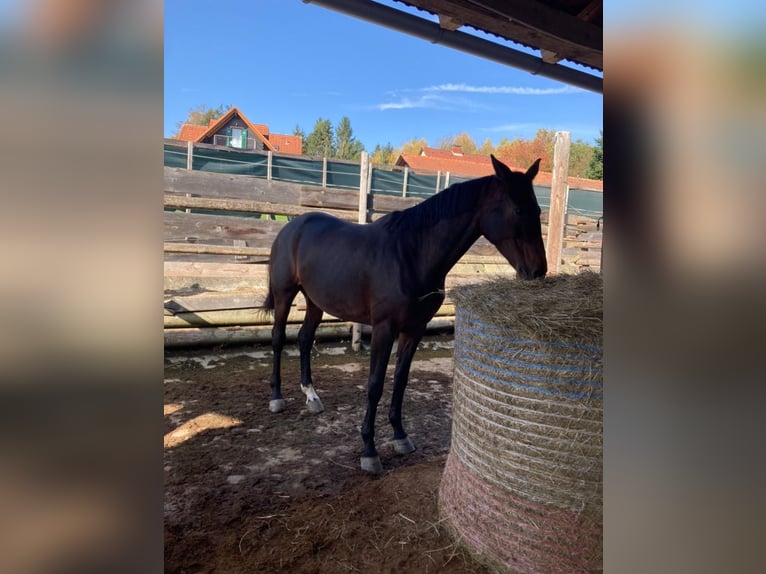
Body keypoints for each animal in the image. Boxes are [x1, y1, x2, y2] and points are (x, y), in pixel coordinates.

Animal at [264, 155, 544, 474]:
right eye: (518, 209)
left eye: (537, 209)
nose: (539, 270)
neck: (410, 254)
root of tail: (293, 227)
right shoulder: (384, 329)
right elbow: (375, 385)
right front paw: (369, 450)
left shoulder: (415, 329)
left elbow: (400, 380)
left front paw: (400, 436)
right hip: (285, 295)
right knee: (277, 339)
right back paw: (277, 398)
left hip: (315, 301)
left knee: (304, 338)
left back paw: (311, 396)